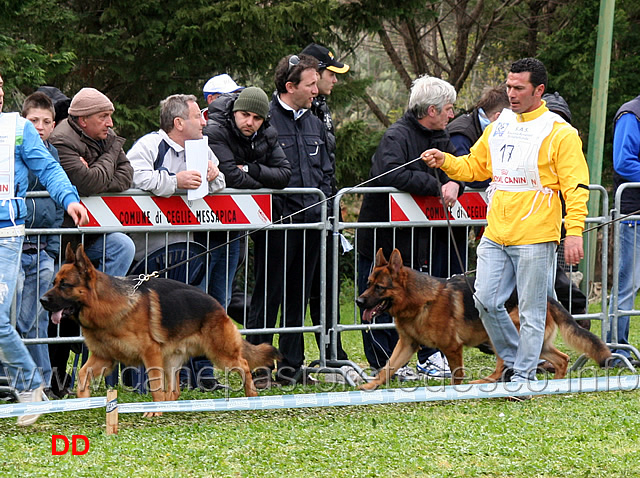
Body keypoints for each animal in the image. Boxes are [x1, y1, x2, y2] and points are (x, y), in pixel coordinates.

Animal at [40, 245, 280, 416]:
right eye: (54, 282)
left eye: (65, 285)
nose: (42, 300)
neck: (107, 305)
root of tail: (218, 306)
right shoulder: (104, 357)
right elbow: (82, 375)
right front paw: (84, 398)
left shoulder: (150, 354)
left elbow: (154, 385)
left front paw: (153, 412)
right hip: (171, 360)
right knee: (175, 390)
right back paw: (170, 407)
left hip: (220, 354)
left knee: (244, 364)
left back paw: (251, 395)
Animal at [358, 248, 612, 390]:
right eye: (369, 283)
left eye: (380, 288)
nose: (359, 302)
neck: (420, 300)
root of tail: (547, 299)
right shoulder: (406, 344)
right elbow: (386, 368)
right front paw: (371, 385)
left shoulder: (452, 347)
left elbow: (457, 376)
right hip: (536, 342)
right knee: (561, 359)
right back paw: (557, 382)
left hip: (501, 333)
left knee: (504, 365)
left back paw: (485, 382)